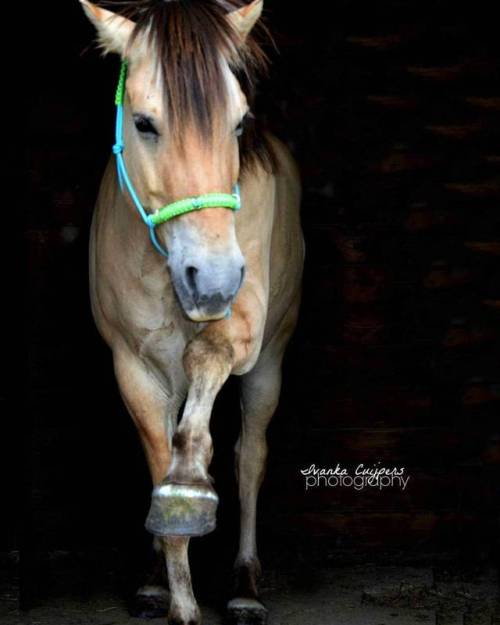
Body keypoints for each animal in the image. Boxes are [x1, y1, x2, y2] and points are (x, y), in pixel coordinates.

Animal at [80, 1, 302, 624]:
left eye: (240, 123)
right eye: (144, 123)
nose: (215, 279)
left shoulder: (239, 336)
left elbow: (206, 374)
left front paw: (189, 491)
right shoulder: (133, 365)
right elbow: (158, 465)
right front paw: (176, 596)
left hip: (270, 362)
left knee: (250, 457)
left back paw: (246, 587)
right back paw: (155, 580)